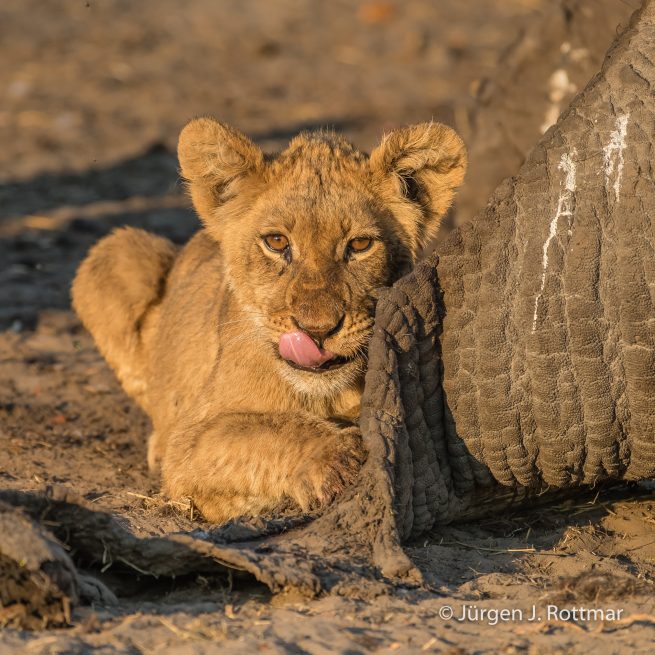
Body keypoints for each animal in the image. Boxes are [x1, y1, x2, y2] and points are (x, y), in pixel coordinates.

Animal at [71, 118, 467, 523]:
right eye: (277, 242)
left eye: (359, 245)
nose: (317, 330)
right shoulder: (187, 440)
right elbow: (263, 431)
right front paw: (339, 461)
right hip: (115, 252)